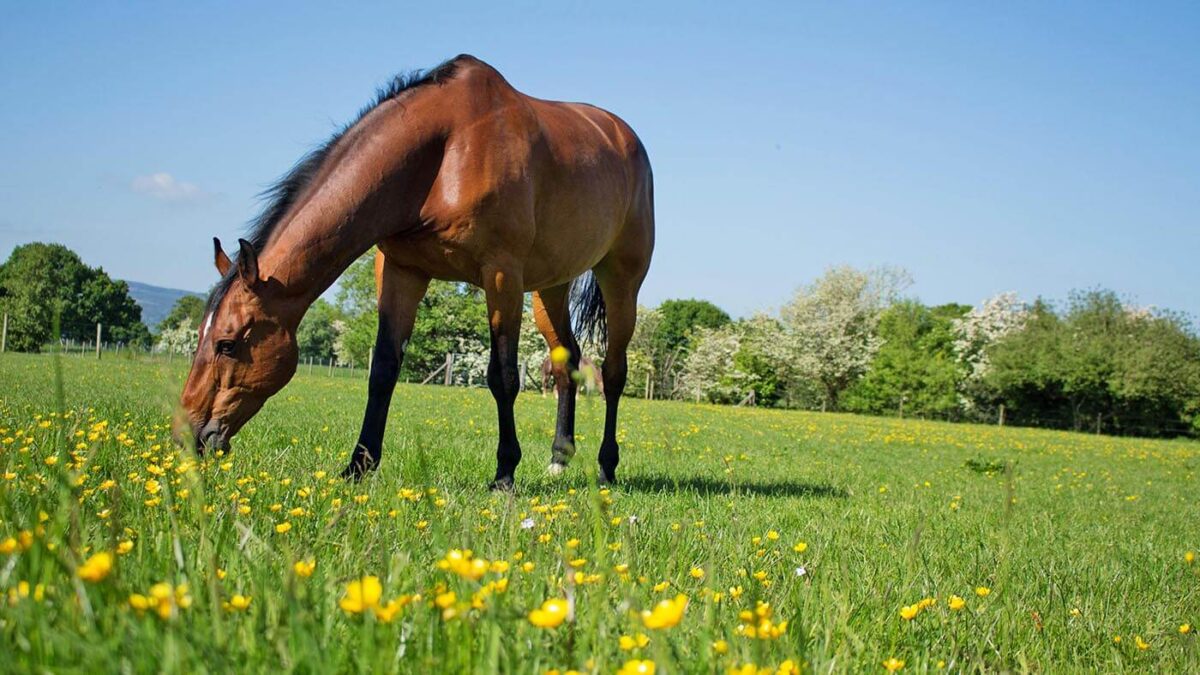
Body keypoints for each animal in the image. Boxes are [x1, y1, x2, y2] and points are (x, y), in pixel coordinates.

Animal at [176, 55, 654, 489]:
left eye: (226, 344)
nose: (187, 436)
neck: (445, 154)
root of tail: (627, 139)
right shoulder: (400, 270)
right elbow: (383, 369)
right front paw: (358, 466)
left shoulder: (500, 275)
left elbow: (502, 376)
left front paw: (504, 473)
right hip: (549, 287)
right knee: (566, 361)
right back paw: (559, 457)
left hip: (620, 280)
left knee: (613, 372)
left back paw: (607, 467)